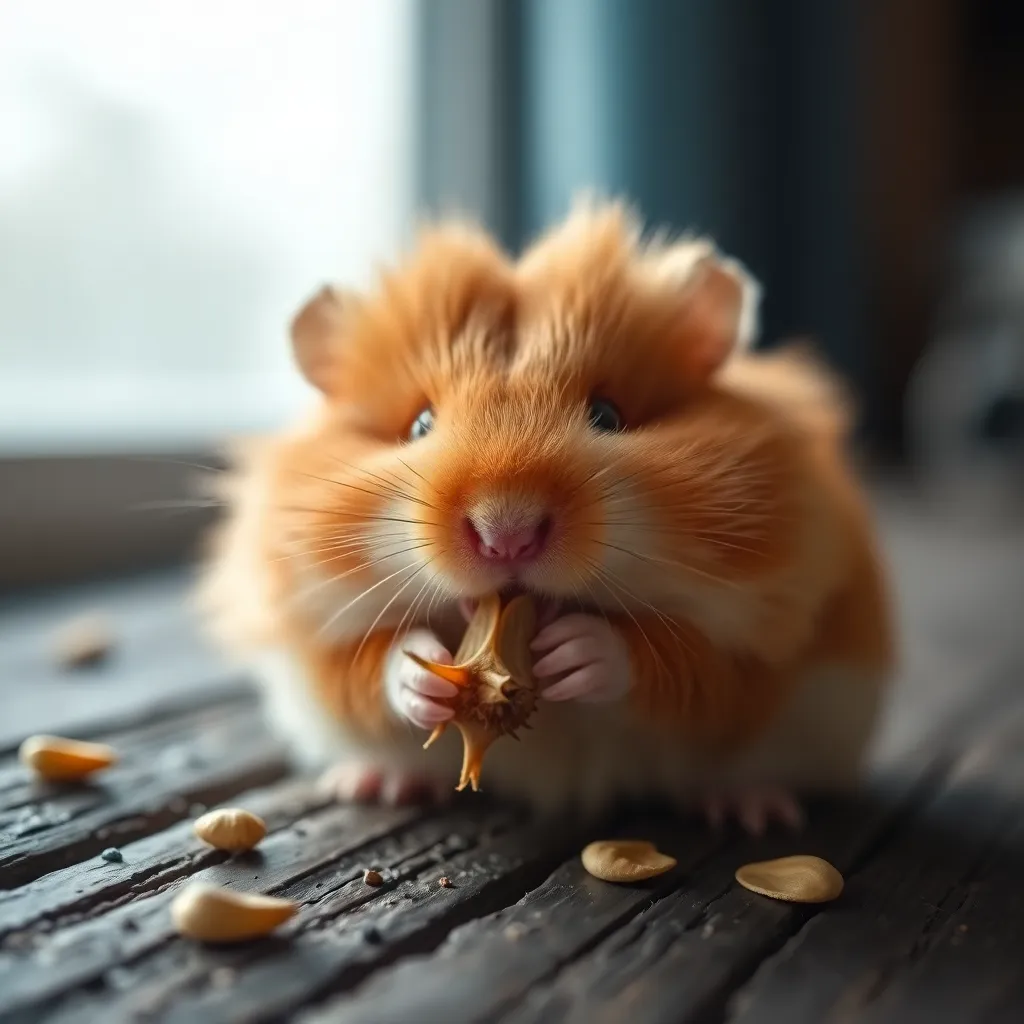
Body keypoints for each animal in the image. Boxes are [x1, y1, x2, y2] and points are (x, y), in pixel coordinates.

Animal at [199, 200, 894, 831]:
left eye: (608, 415)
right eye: (420, 424)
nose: (505, 537)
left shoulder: (760, 650)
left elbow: (677, 662)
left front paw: (572, 653)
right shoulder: (311, 639)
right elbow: (370, 662)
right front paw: (426, 679)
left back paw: (753, 812)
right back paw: (379, 784)